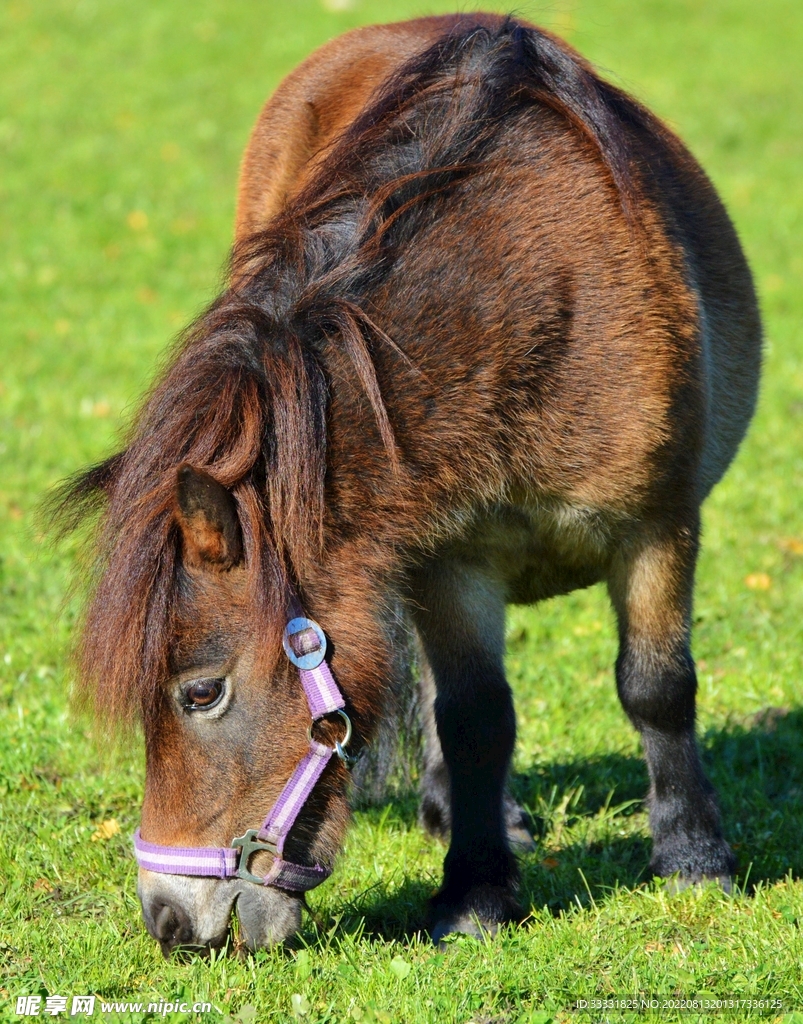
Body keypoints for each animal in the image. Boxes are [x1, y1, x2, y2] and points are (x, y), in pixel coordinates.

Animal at [58, 13, 761, 954]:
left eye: (200, 692)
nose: (168, 920)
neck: (531, 304)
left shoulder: (657, 522)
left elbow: (657, 687)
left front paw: (693, 858)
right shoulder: (447, 556)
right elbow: (472, 716)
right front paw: (475, 892)